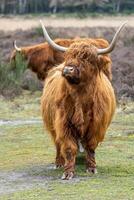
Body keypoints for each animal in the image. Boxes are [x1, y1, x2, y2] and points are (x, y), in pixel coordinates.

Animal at [40, 21, 126, 180]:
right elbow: (69, 147)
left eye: (87, 58)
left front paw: (91, 168)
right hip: (52, 125)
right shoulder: (64, 123)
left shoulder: (96, 124)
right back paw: (59, 163)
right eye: (68, 56)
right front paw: (68, 172)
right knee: (57, 143)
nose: (68, 69)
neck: (80, 97)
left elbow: (90, 146)